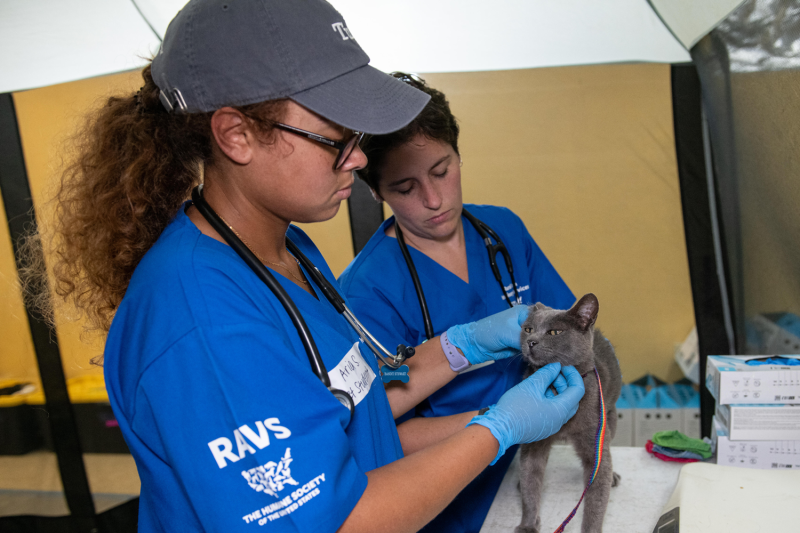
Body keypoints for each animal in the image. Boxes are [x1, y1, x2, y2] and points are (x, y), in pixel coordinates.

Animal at [516, 294, 620, 528]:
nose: (530, 341)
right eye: (528, 329)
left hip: (610, 416)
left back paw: (614, 477)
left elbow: (596, 497)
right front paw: (528, 525)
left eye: (554, 332)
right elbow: (530, 479)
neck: (557, 388)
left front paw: (591, 528)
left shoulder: (595, 440)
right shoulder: (534, 441)